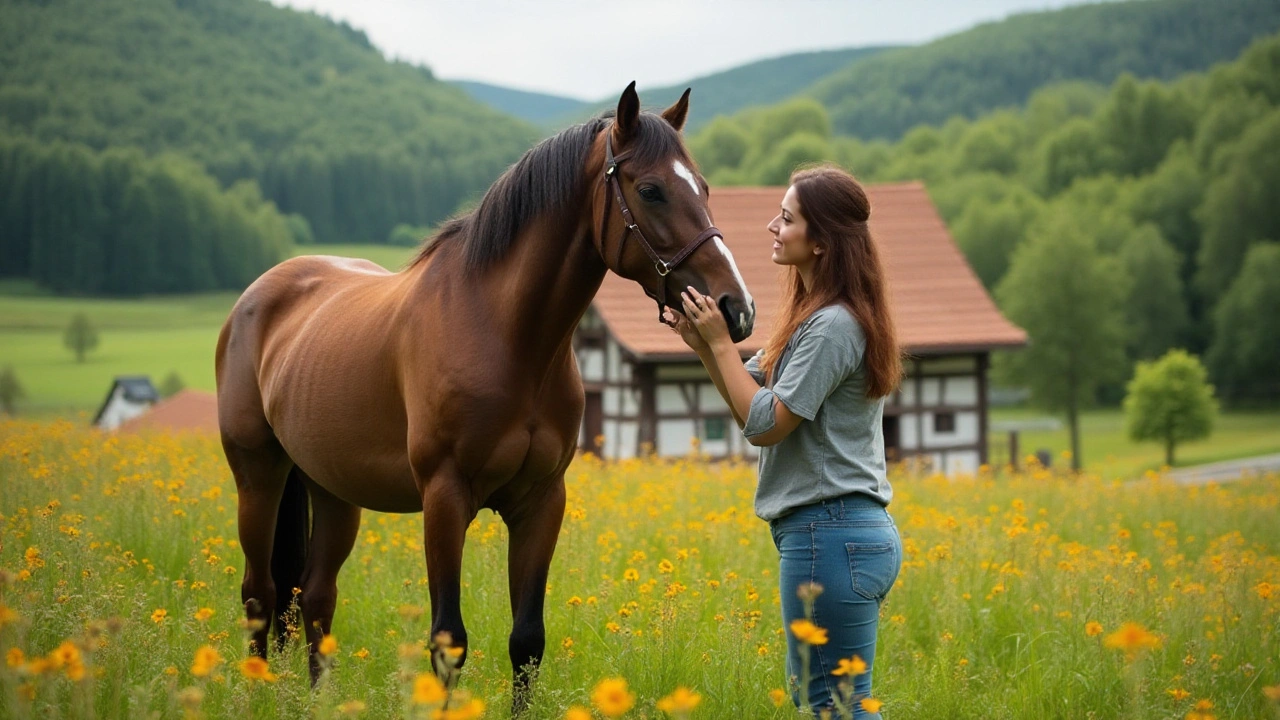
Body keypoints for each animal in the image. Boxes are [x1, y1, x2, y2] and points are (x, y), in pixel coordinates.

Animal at [215, 82, 752, 702]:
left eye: (704, 188)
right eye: (651, 190)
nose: (737, 309)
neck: (505, 335)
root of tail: (258, 296)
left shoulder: (541, 502)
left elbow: (527, 642)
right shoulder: (444, 499)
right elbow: (448, 641)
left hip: (331, 489)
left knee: (316, 596)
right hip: (258, 476)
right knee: (260, 593)